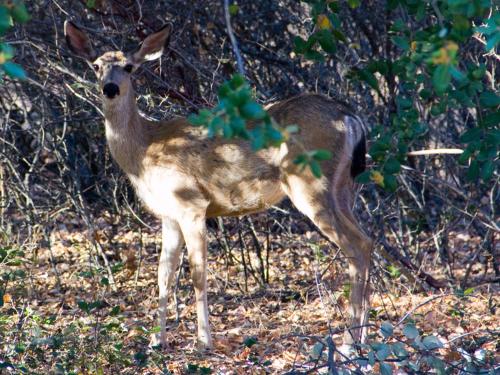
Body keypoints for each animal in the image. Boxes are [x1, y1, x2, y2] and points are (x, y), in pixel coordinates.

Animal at [64, 21, 374, 356]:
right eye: (96, 66)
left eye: (129, 67)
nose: (110, 88)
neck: (144, 151)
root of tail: (350, 118)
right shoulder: (168, 215)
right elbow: (163, 276)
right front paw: (156, 340)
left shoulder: (191, 204)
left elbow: (198, 275)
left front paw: (202, 342)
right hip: (343, 188)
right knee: (367, 242)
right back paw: (363, 337)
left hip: (309, 184)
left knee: (354, 248)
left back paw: (348, 342)